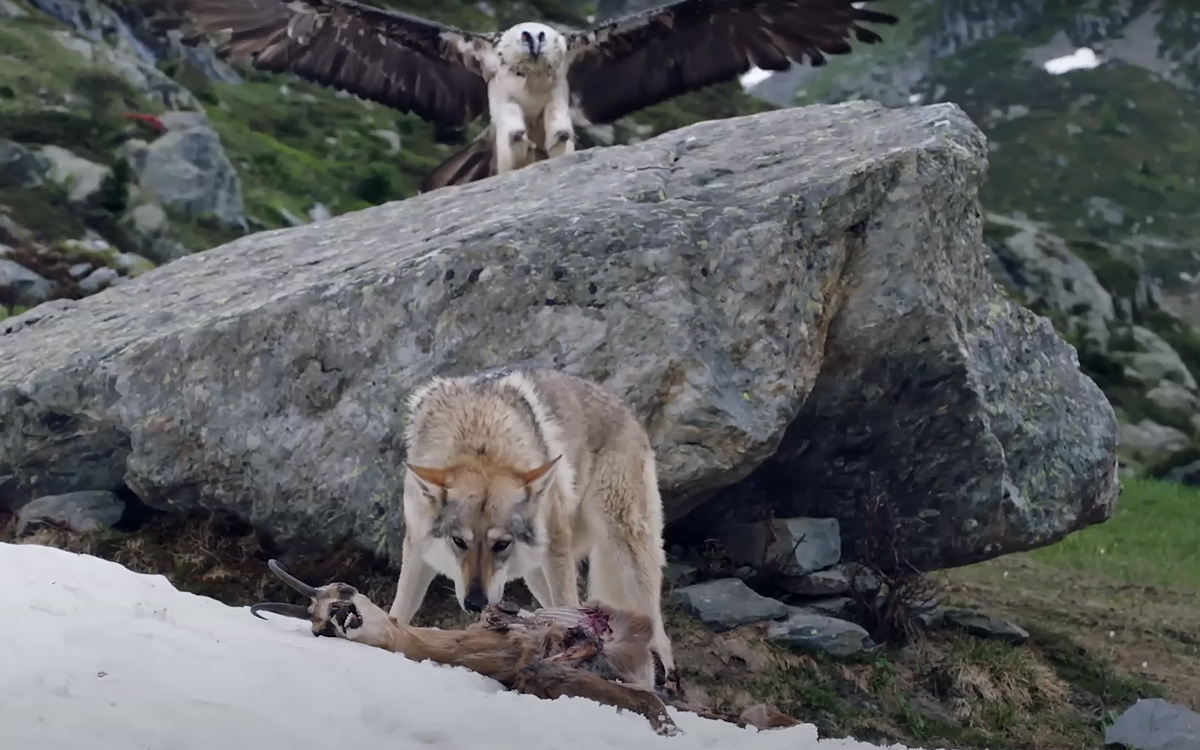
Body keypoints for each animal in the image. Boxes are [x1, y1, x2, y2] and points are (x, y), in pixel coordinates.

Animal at [391, 362, 676, 676]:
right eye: (458, 542)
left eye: (501, 544)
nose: (475, 603)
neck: (480, 440)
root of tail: (628, 411)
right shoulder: (416, 545)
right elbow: (399, 610)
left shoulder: (556, 546)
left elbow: (569, 607)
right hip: (536, 573)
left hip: (623, 554)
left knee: (660, 639)